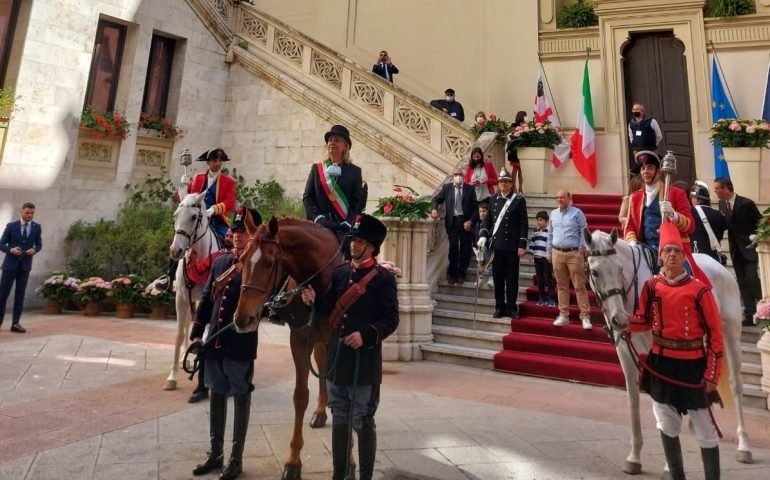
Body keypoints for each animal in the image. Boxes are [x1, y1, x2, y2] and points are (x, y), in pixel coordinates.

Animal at [163, 191, 218, 390]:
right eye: (175, 216)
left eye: (194, 217)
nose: (175, 250)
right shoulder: (181, 298)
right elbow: (179, 334)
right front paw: (172, 376)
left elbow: (206, 333)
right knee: (187, 324)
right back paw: (183, 358)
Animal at [232, 217, 344, 480]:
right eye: (241, 259)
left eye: (269, 262)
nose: (243, 319)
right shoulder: (300, 339)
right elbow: (300, 396)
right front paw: (293, 461)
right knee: (321, 364)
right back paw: (321, 411)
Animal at [584, 230, 752, 476]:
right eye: (595, 272)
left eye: (619, 268)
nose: (619, 319)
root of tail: (719, 266)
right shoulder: (625, 353)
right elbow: (634, 401)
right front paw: (634, 457)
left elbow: (666, 402)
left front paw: (668, 465)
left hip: (729, 333)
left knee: (735, 386)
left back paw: (744, 446)